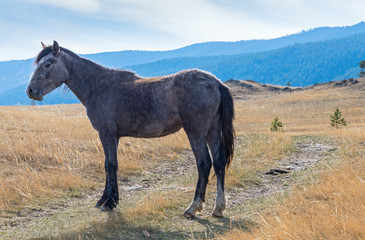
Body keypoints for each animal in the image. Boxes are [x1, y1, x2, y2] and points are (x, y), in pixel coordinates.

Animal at [27, 40, 235, 218]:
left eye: (47, 64)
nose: (30, 91)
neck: (99, 86)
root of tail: (215, 82)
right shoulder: (114, 136)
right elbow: (108, 165)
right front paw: (105, 199)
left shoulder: (107, 134)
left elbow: (111, 165)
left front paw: (109, 203)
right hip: (212, 131)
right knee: (219, 162)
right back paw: (218, 208)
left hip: (196, 132)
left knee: (204, 164)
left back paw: (193, 208)